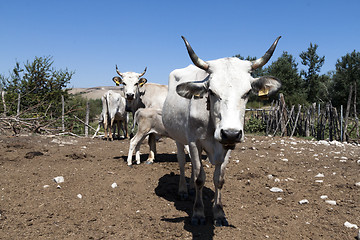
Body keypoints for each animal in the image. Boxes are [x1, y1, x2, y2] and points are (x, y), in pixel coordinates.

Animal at [162, 36, 282, 227]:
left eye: (248, 92)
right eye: (211, 91)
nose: (231, 133)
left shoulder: (228, 146)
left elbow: (218, 179)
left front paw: (219, 213)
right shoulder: (194, 142)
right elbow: (200, 178)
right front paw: (198, 213)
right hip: (178, 138)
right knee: (181, 162)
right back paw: (183, 190)